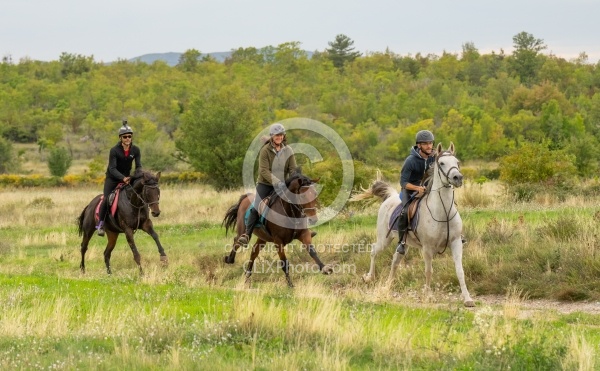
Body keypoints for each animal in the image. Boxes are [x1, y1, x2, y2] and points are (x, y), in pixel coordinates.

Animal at [352, 142, 474, 308]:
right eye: (442, 163)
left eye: (457, 162)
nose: (458, 178)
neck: (443, 212)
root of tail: (390, 196)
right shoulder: (427, 248)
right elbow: (429, 271)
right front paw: (428, 296)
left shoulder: (456, 243)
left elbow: (460, 270)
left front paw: (468, 299)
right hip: (384, 239)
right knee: (374, 250)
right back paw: (369, 277)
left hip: (404, 243)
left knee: (395, 260)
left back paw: (388, 286)